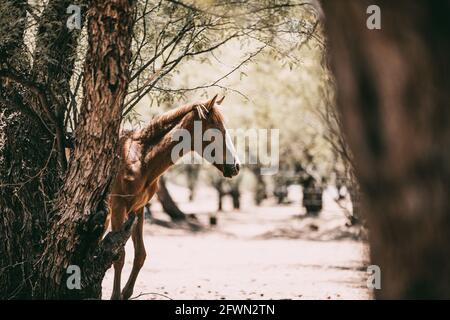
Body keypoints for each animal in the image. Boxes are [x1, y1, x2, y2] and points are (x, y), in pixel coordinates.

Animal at [107, 94, 241, 300]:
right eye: (217, 130)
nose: (236, 166)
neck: (139, 159)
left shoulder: (138, 210)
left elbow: (140, 255)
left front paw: (126, 292)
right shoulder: (118, 207)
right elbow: (119, 256)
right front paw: (116, 295)